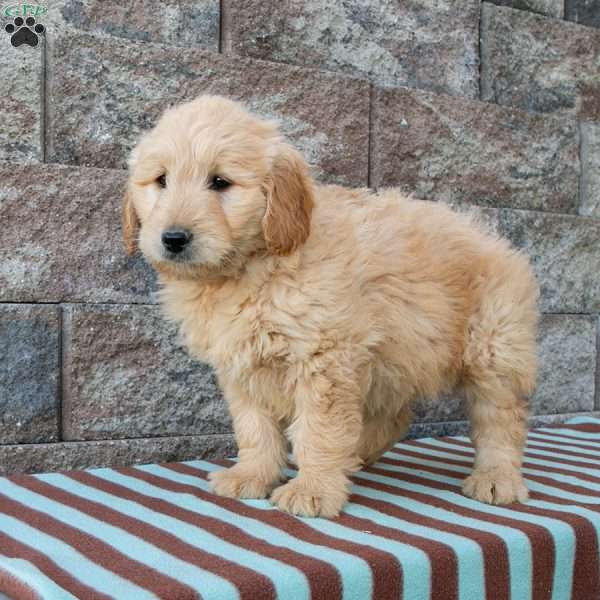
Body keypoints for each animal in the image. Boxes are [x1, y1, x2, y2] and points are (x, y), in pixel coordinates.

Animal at [122, 94, 540, 516]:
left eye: (220, 182)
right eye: (161, 180)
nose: (174, 238)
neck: (250, 268)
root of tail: (497, 240)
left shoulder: (323, 359)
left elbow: (318, 431)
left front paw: (314, 489)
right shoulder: (243, 366)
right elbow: (255, 429)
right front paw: (252, 476)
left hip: (493, 349)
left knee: (501, 420)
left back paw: (496, 478)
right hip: (395, 355)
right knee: (396, 415)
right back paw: (359, 453)